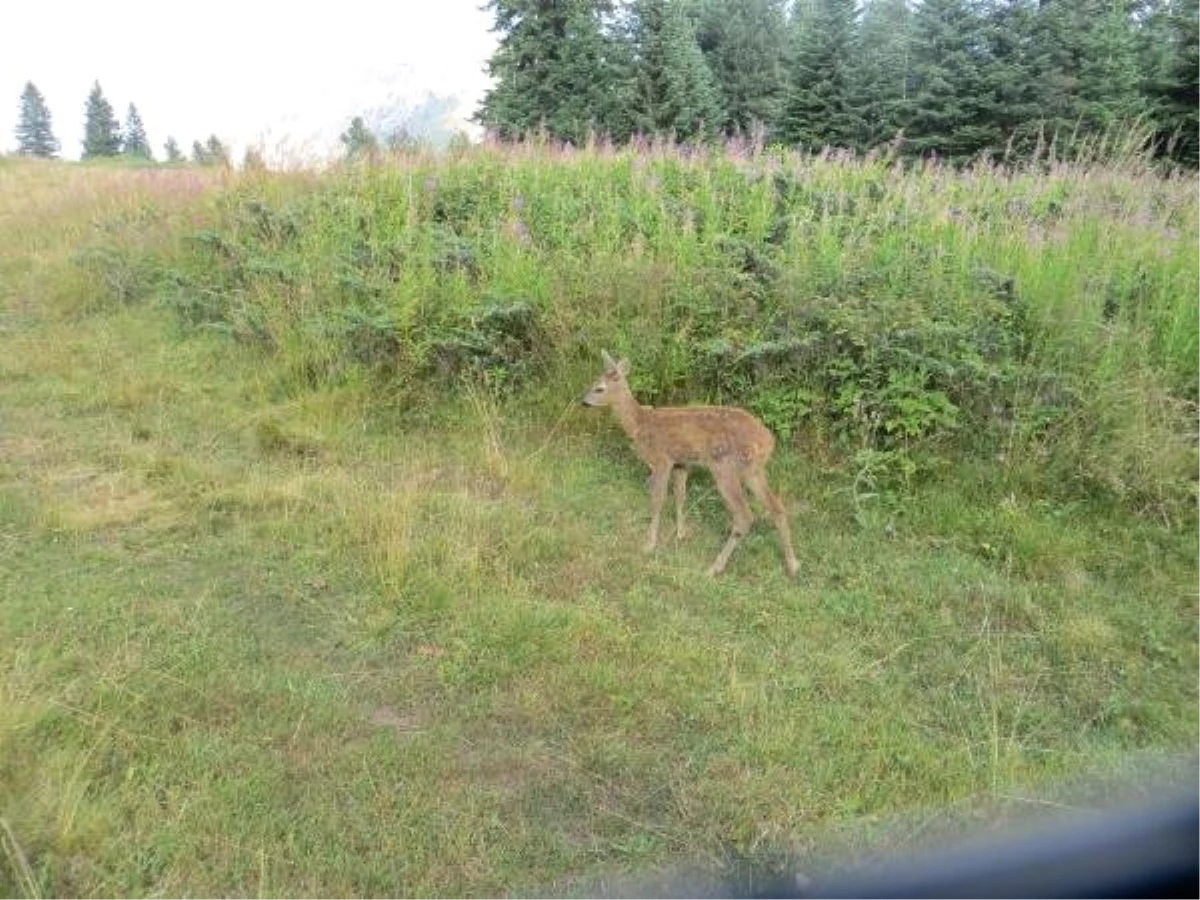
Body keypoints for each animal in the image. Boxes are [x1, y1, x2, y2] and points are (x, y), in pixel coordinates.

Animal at [580, 348, 796, 580]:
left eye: (599, 388)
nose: (583, 402)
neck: (639, 423)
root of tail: (768, 441)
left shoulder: (661, 460)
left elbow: (657, 500)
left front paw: (649, 544)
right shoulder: (681, 463)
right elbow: (681, 496)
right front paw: (681, 533)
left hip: (725, 467)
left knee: (744, 515)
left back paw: (714, 567)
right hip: (753, 470)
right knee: (777, 507)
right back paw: (793, 565)